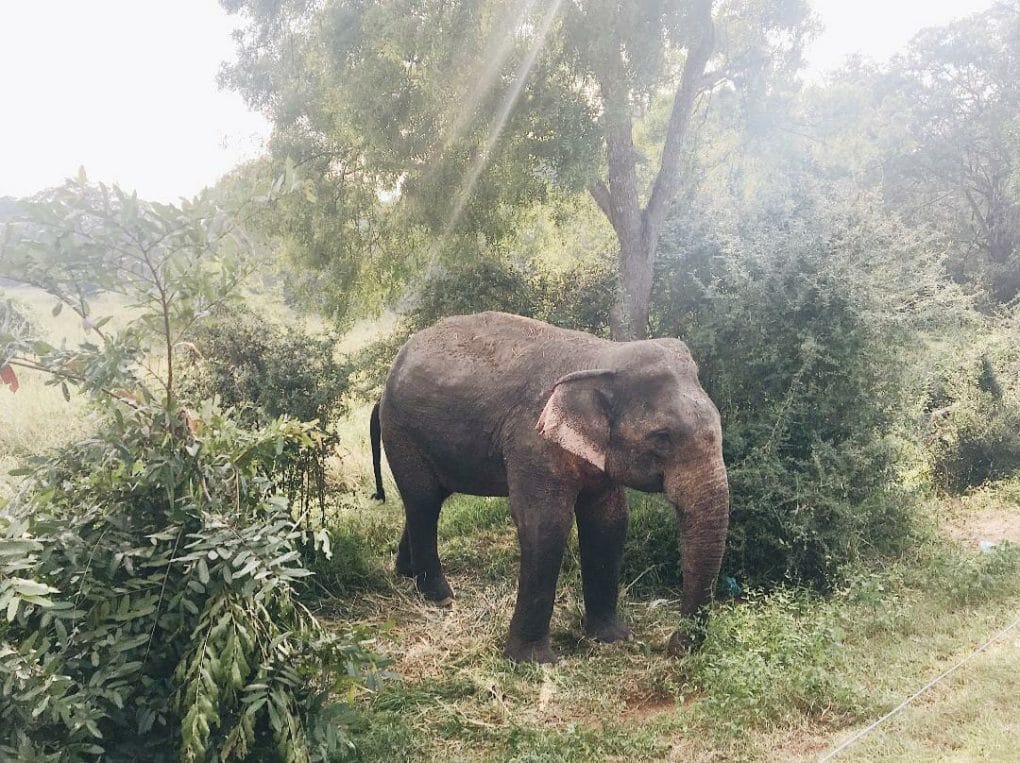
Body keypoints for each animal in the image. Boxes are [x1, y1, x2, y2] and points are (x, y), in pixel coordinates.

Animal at [371, 310, 730, 660]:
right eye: (661, 438)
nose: (672, 647)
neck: (605, 356)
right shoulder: (532, 440)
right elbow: (546, 524)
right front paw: (533, 660)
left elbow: (610, 523)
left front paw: (613, 639)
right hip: (401, 432)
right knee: (423, 501)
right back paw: (440, 597)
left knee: (427, 500)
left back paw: (406, 574)